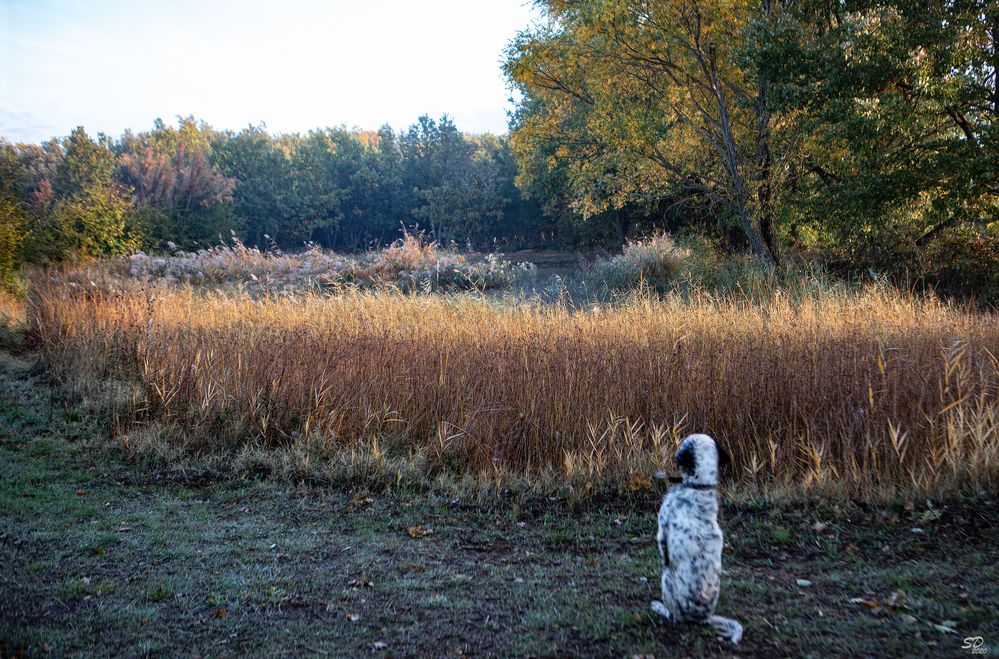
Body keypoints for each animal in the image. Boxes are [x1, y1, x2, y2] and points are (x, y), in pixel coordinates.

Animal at [648, 434, 744, 644]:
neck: (699, 487)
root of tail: (704, 617)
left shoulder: (662, 530)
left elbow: (662, 548)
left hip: (666, 579)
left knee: (672, 616)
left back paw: (658, 607)